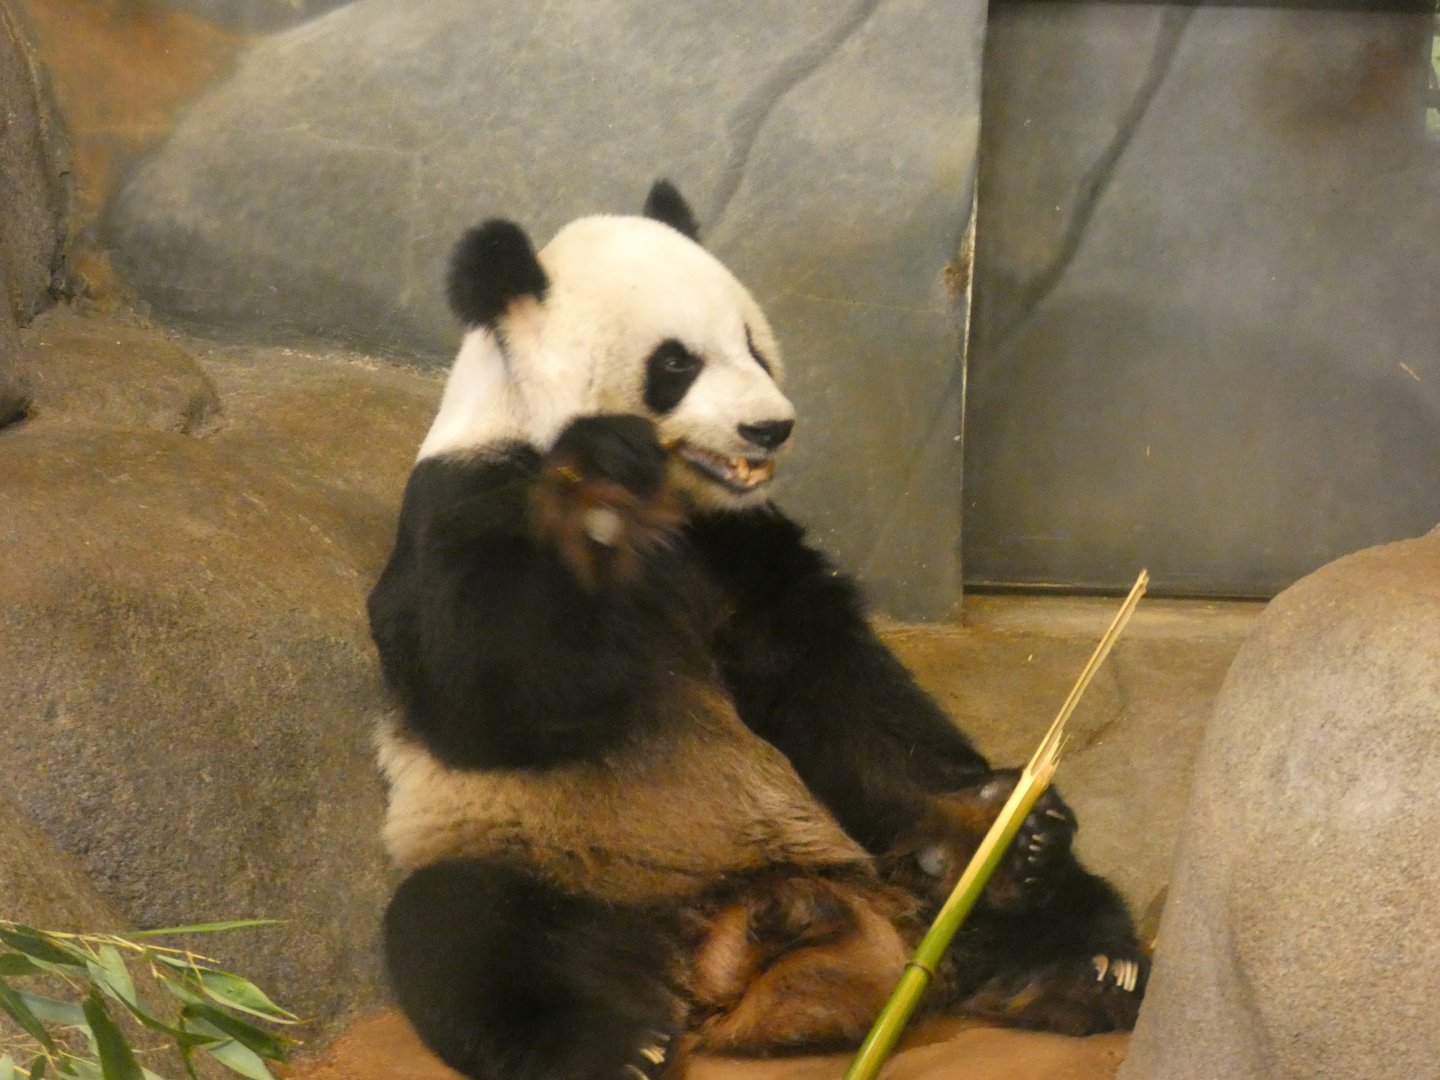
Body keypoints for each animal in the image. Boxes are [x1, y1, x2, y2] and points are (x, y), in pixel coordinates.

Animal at [367, 181, 1148, 1080]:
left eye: (753, 345)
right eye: (676, 363)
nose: (770, 427)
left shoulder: (734, 545)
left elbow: (829, 684)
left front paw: (997, 808)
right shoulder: (461, 501)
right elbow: (486, 691)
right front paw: (598, 475)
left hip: (875, 861)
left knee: (1055, 899)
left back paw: (1049, 912)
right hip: (554, 856)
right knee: (469, 931)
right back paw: (615, 1044)